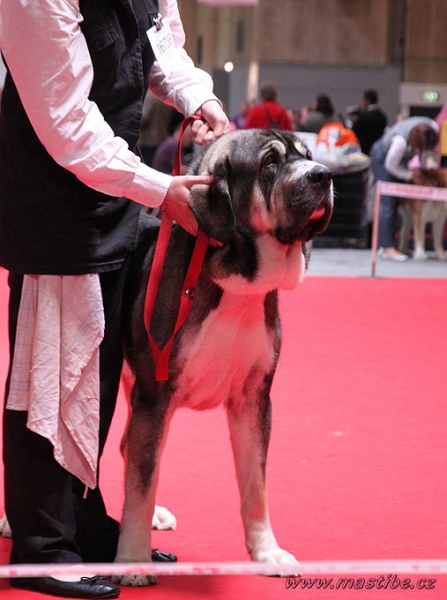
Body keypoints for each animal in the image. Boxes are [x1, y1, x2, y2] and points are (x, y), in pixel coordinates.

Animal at [114, 127, 334, 584]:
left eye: (307, 154)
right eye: (270, 163)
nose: (323, 175)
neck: (237, 284)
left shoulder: (254, 398)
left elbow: (256, 486)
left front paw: (267, 553)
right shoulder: (155, 394)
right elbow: (141, 481)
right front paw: (131, 560)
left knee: (131, 448)